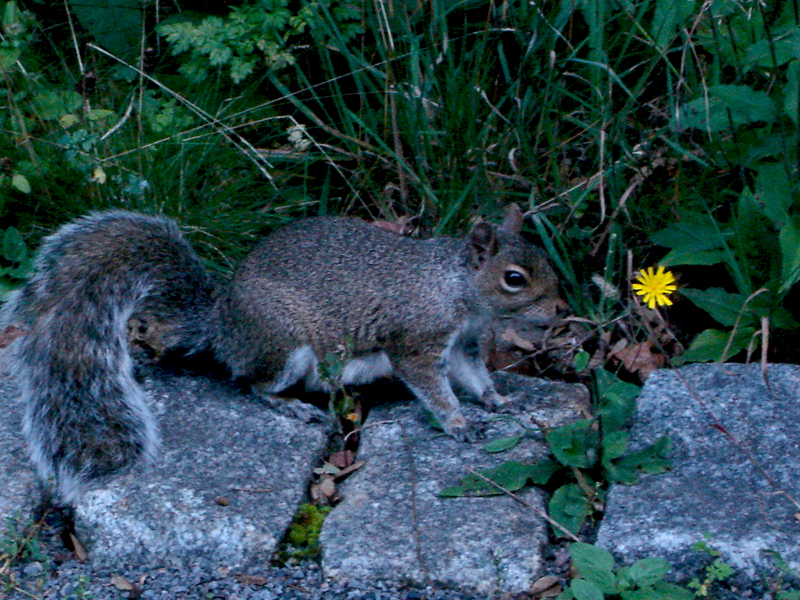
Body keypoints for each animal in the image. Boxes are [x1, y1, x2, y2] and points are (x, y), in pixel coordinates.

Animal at [1, 204, 564, 504]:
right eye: (514, 278)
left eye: (543, 259)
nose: (562, 309)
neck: (454, 288)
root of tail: (223, 323)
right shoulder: (417, 342)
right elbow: (433, 385)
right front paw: (458, 423)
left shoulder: (464, 343)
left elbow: (474, 376)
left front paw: (498, 401)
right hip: (285, 345)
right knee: (249, 383)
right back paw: (291, 405)